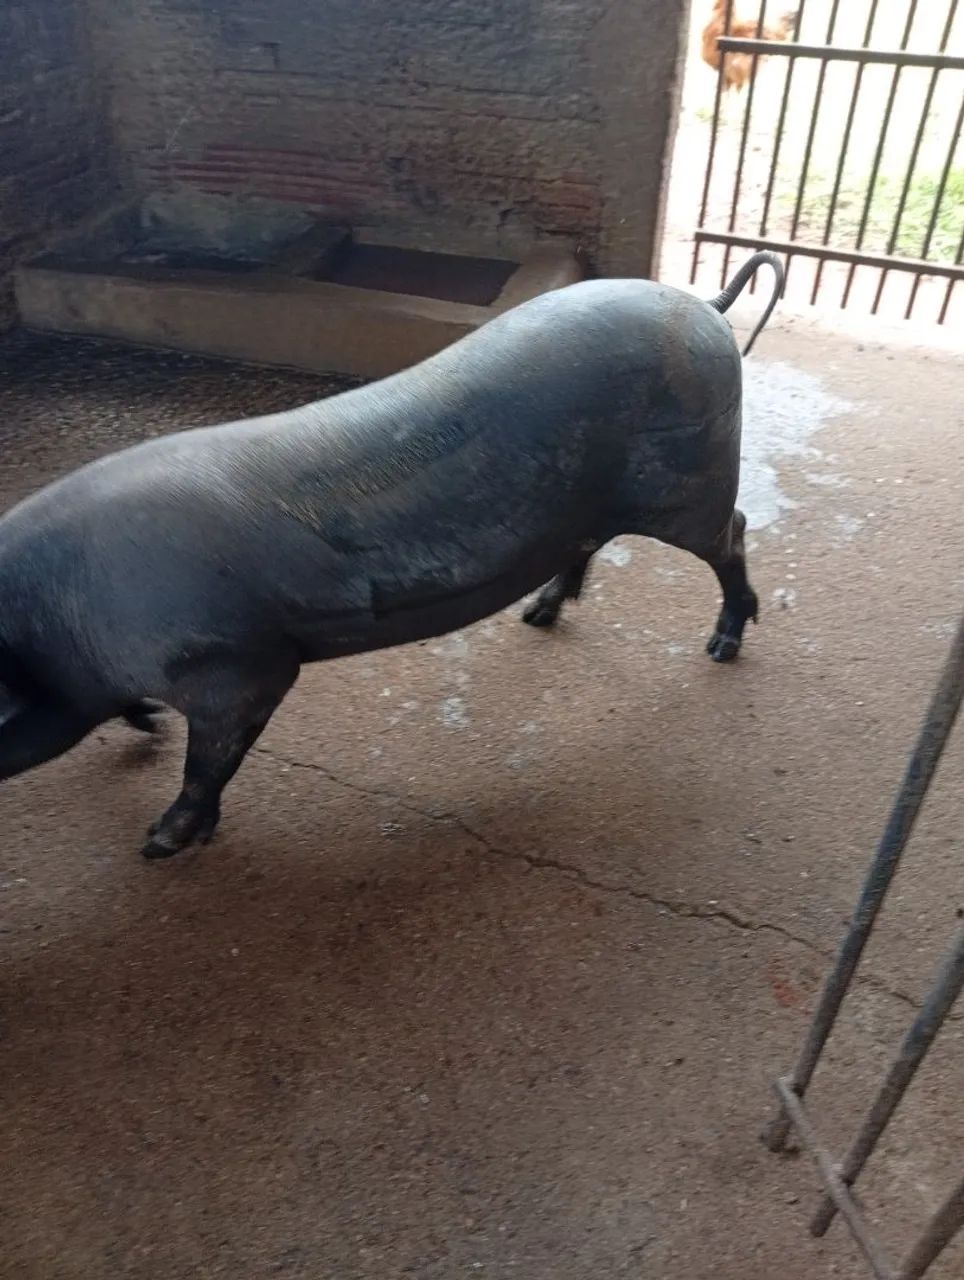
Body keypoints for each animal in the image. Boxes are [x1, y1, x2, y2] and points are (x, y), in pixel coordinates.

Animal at [0, 251, 783, 859]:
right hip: (604, 497)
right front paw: (149, 732)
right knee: (597, 541)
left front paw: (159, 844)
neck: (52, 622)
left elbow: (207, 764)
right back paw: (538, 615)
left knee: (736, 533)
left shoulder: (239, 666)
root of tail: (706, 305)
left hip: (694, 480)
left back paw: (723, 646)